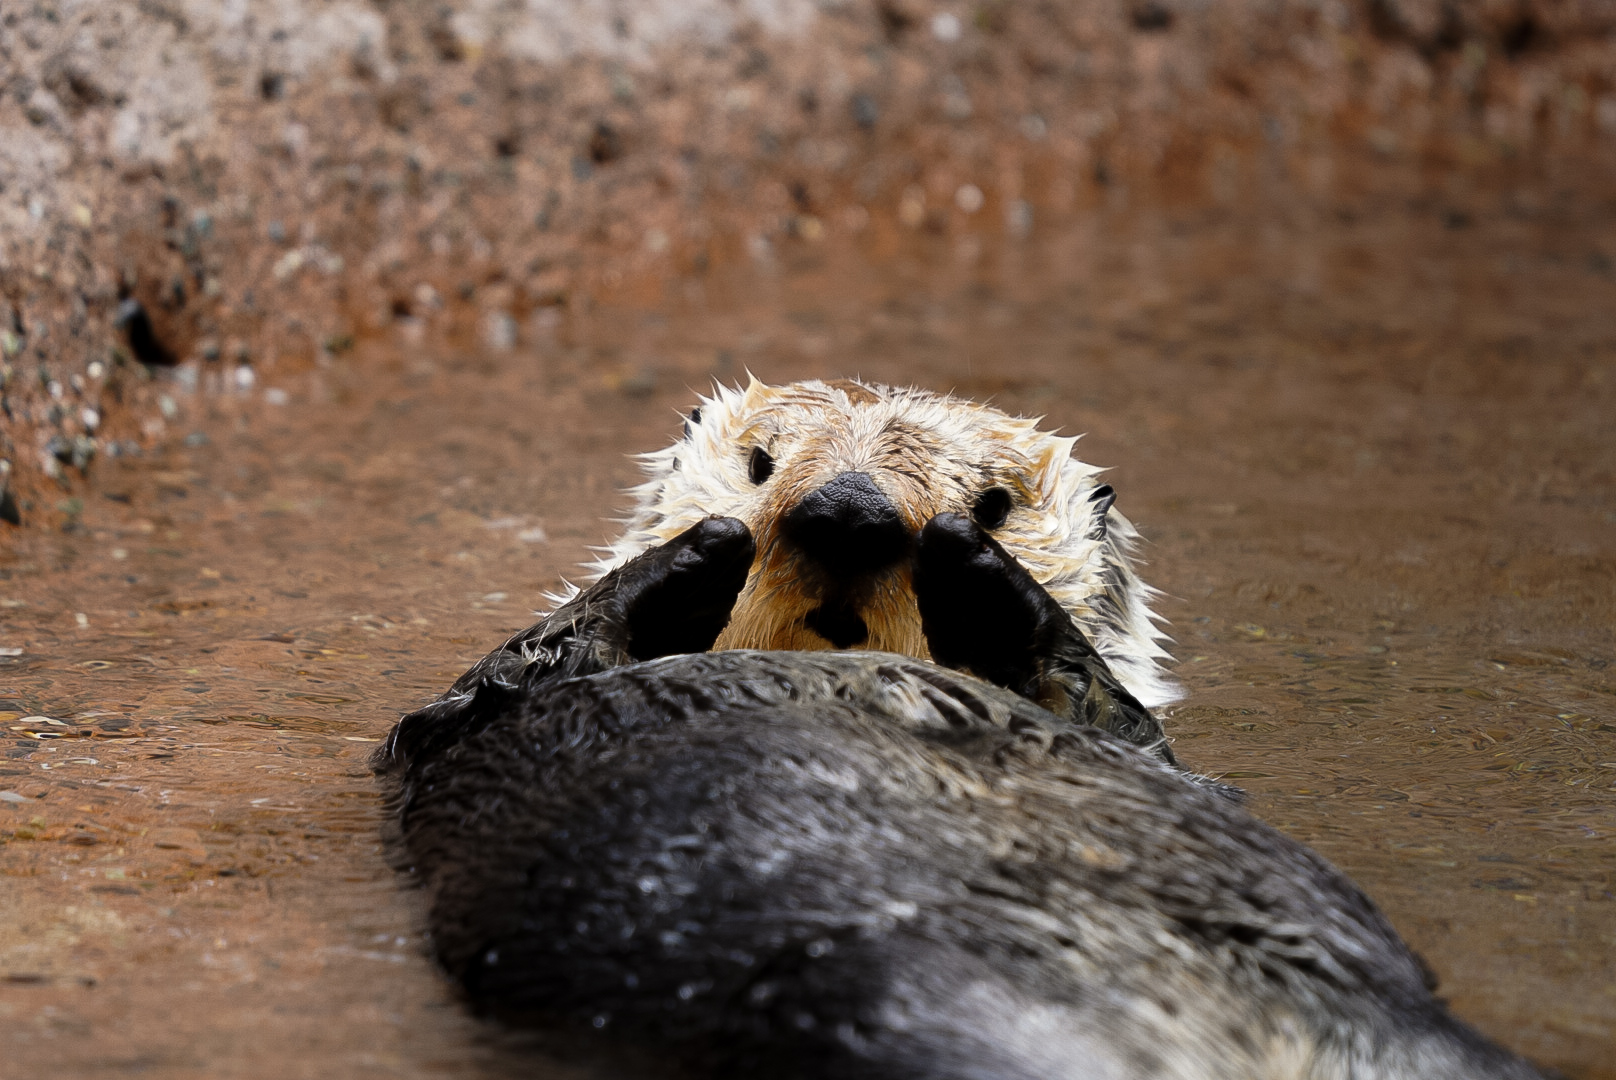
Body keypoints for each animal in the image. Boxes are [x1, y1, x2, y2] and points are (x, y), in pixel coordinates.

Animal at [376, 380, 1547, 1080]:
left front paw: (986, 585)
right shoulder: (450, 732)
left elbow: (1116, 718)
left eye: (991, 503)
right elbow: (474, 697)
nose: (848, 512)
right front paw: (692, 555)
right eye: (758, 464)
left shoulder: (1148, 744)